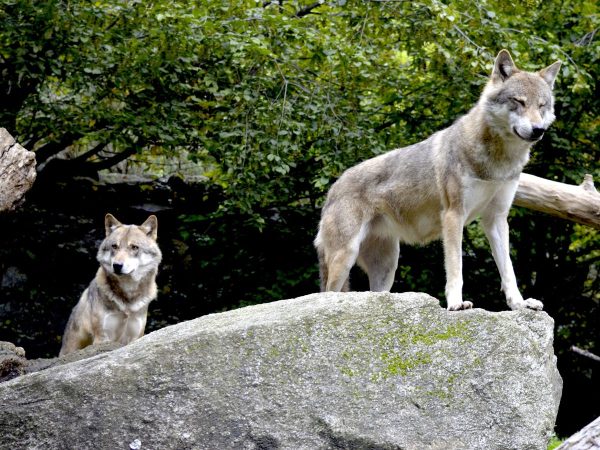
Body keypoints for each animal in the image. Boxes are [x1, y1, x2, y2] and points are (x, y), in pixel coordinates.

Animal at [59, 214, 162, 356]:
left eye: (134, 247)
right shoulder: (102, 338)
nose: (117, 265)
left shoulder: (135, 337)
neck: (127, 298)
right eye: (114, 246)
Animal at [316, 49, 560, 310]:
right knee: (327, 293)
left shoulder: (496, 218)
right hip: (345, 257)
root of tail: (332, 190)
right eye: (519, 101)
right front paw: (456, 303)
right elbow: (456, 267)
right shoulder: (453, 215)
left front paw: (519, 304)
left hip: (388, 267)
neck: (497, 161)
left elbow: (508, 271)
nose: (538, 130)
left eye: (542, 105)